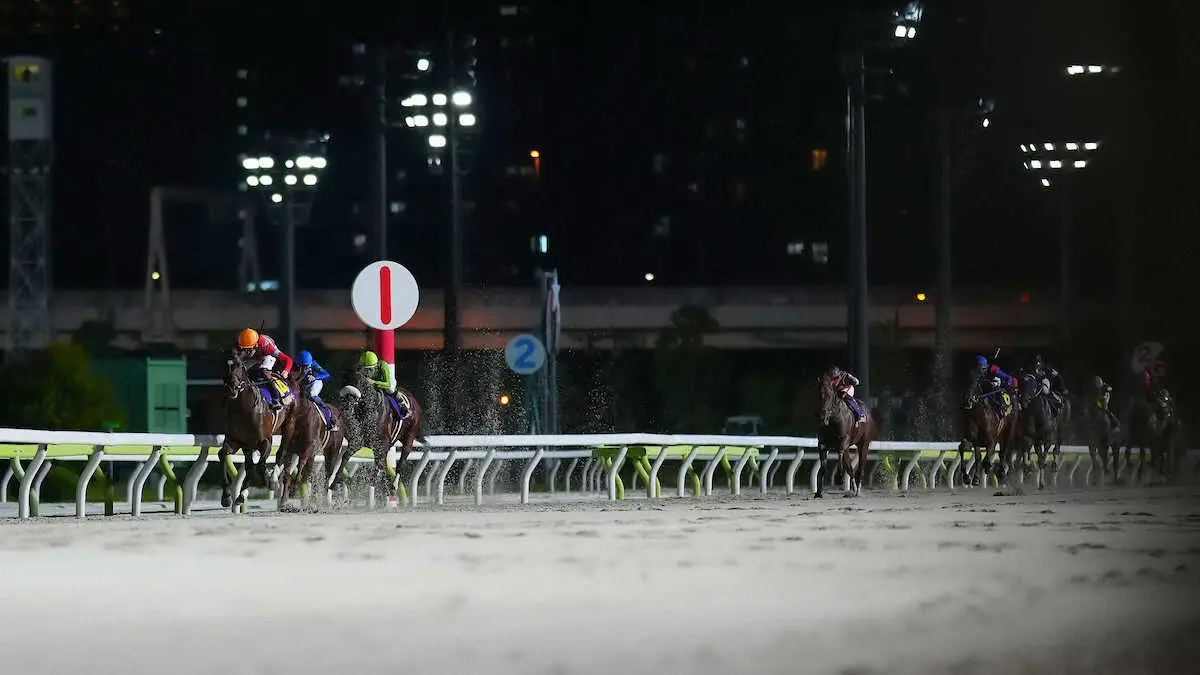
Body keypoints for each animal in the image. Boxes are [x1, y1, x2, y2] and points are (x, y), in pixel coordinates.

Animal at [219, 348, 296, 506]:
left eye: (239, 365)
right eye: (225, 365)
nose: (231, 388)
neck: (243, 410)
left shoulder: (265, 441)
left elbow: (260, 466)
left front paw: (271, 481)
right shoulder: (235, 440)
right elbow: (223, 454)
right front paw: (226, 496)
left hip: (289, 426)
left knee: (281, 453)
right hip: (248, 445)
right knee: (249, 465)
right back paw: (241, 495)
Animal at [338, 367, 427, 504]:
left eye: (358, 383)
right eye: (344, 380)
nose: (347, 404)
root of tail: (414, 400)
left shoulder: (383, 444)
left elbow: (377, 469)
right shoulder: (358, 442)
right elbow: (345, 457)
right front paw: (338, 481)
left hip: (409, 437)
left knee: (400, 463)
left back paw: (393, 485)